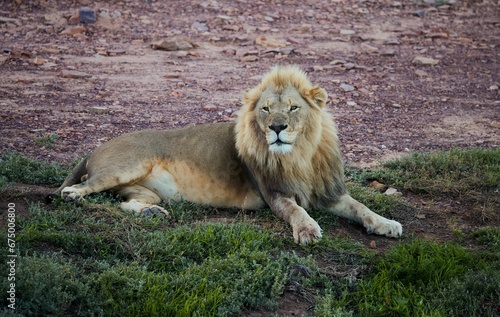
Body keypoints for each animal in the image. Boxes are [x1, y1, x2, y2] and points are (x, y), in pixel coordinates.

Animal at [55, 63, 402, 242]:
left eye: (293, 108)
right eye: (266, 109)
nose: (277, 128)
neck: (299, 156)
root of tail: (94, 148)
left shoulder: (331, 192)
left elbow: (361, 207)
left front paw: (386, 224)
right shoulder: (275, 195)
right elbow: (297, 211)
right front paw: (307, 230)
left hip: (142, 190)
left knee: (126, 202)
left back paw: (152, 213)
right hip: (124, 167)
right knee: (76, 188)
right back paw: (73, 196)